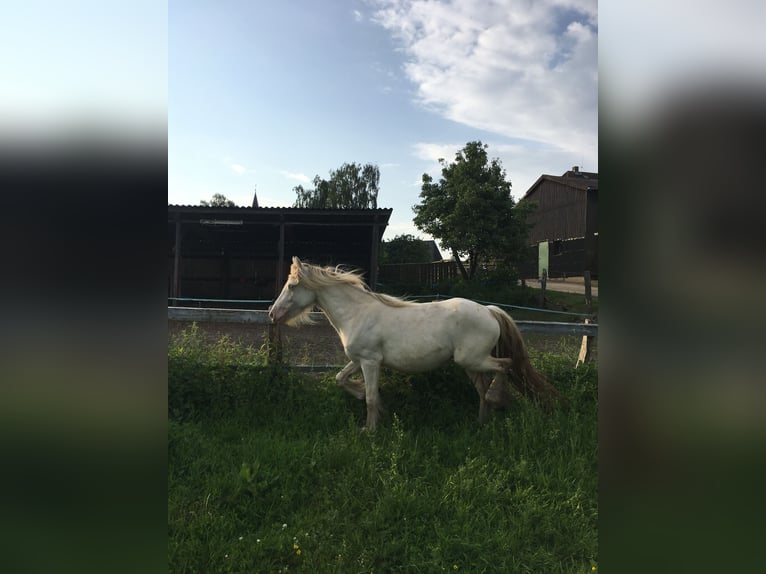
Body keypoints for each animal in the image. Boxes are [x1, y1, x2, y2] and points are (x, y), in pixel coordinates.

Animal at [270, 258, 560, 430]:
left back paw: (497, 400)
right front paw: (368, 401)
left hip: (472, 359)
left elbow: (371, 398)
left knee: (504, 366)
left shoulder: (370, 362)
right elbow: (341, 379)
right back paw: (481, 422)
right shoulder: (357, 360)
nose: (272, 314)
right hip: (471, 364)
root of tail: (489, 310)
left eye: (292, 285)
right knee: (483, 386)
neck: (357, 313)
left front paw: (370, 430)